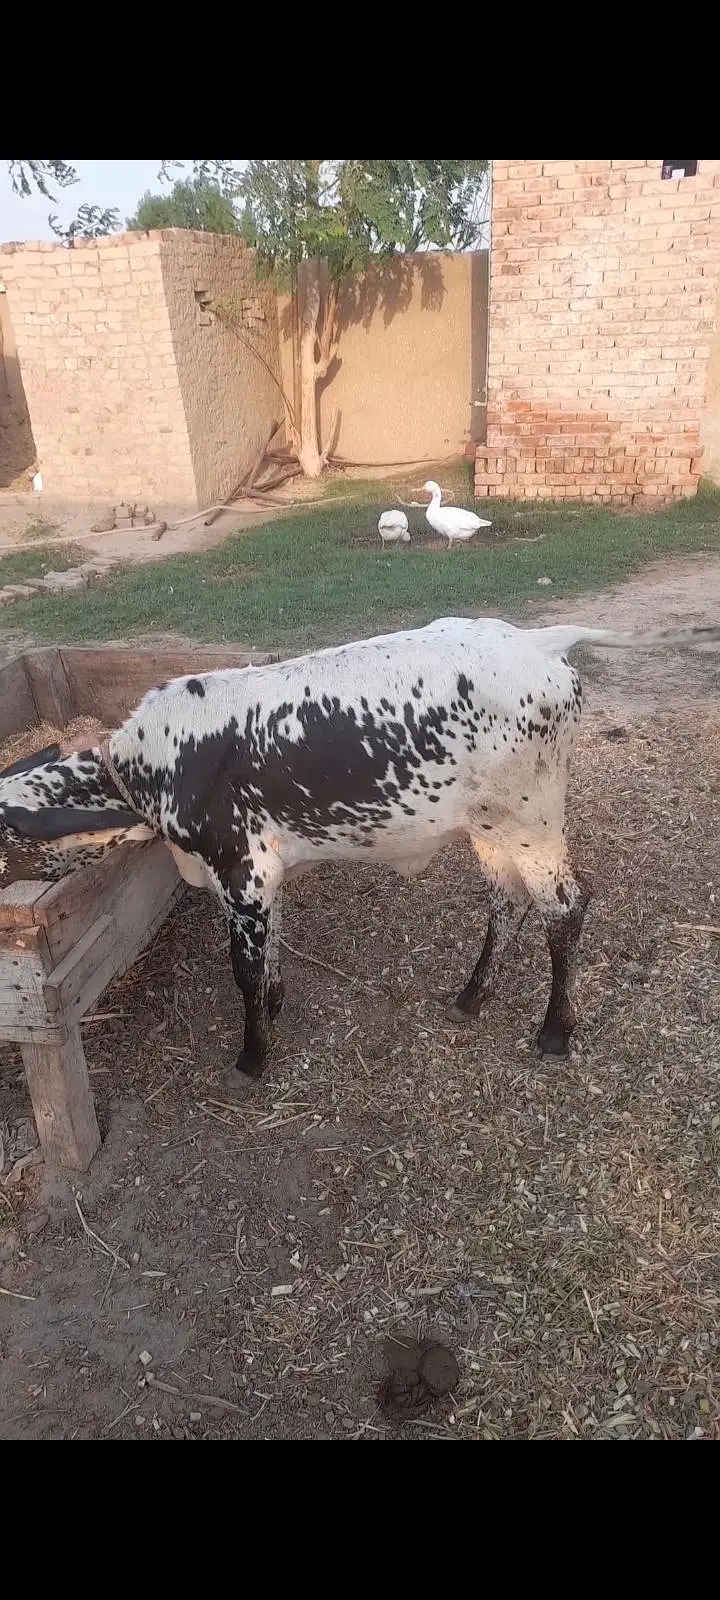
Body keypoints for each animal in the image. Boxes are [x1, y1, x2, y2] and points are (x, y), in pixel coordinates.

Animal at [0, 617, 717, 1081]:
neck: (154, 763)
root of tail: (536, 640)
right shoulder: (258, 879)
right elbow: (269, 954)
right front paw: (275, 1007)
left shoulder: (242, 873)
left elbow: (243, 970)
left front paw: (252, 1056)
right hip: (489, 831)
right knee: (506, 905)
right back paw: (472, 995)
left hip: (531, 824)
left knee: (565, 909)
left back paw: (555, 1030)